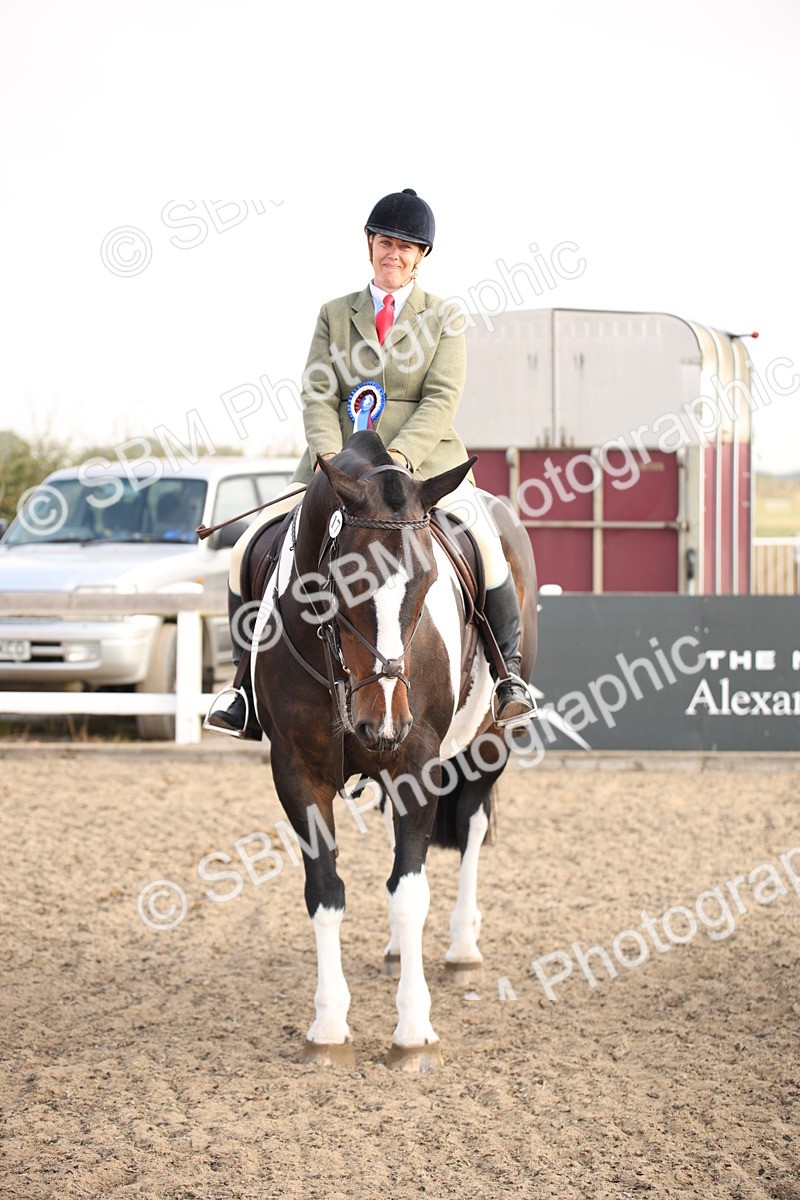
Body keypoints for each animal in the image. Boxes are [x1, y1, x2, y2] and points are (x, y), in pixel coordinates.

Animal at [246, 429, 538, 1071]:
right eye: (342, 583)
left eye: (427, 584)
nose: (381, 722)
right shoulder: (295, 770)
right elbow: (326, 891)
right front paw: (329, 1027)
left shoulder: (416, 761)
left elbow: (411, 892)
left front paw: (414, 1031)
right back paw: (399, 951)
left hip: (490, 742)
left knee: (472, 825)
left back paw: (460, 946)